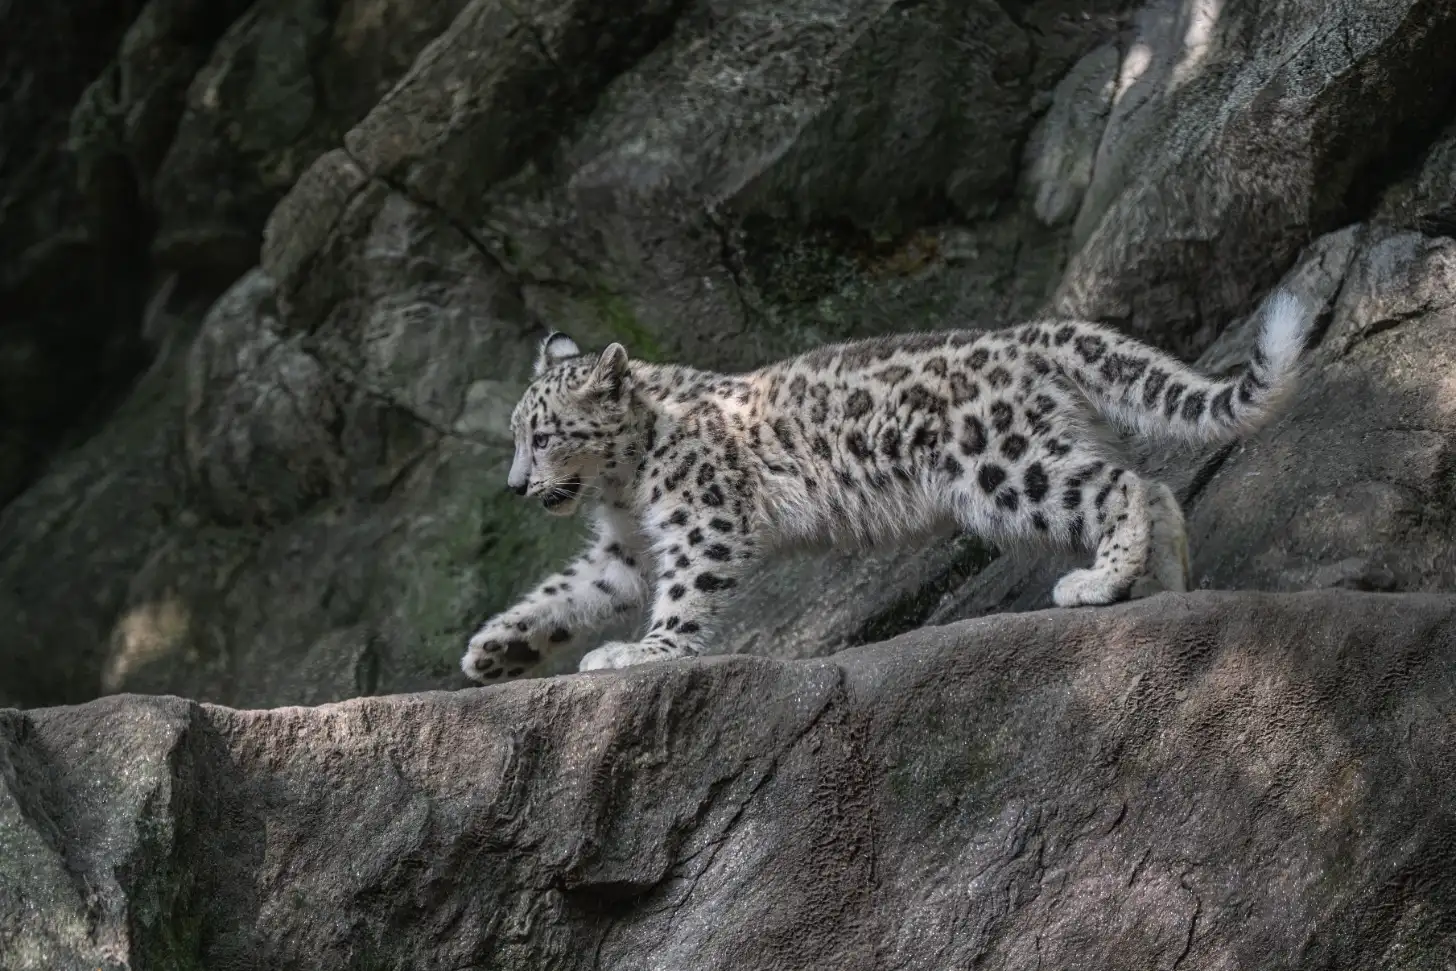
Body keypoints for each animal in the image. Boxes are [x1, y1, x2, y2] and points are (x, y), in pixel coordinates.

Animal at [461, 291, 1310, 681]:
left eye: (543, 436)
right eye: (517, 435)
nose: (514, 484)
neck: (623, 489)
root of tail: (1030, 334)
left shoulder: (701, 521)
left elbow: (684, 595)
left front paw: (641, 651)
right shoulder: (624, 548)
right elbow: (565, 592)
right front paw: (492, 650)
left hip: (1005, 466)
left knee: (1122, 483)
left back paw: (1096, 583)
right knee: (1155, 486)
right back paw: (1163, 587)